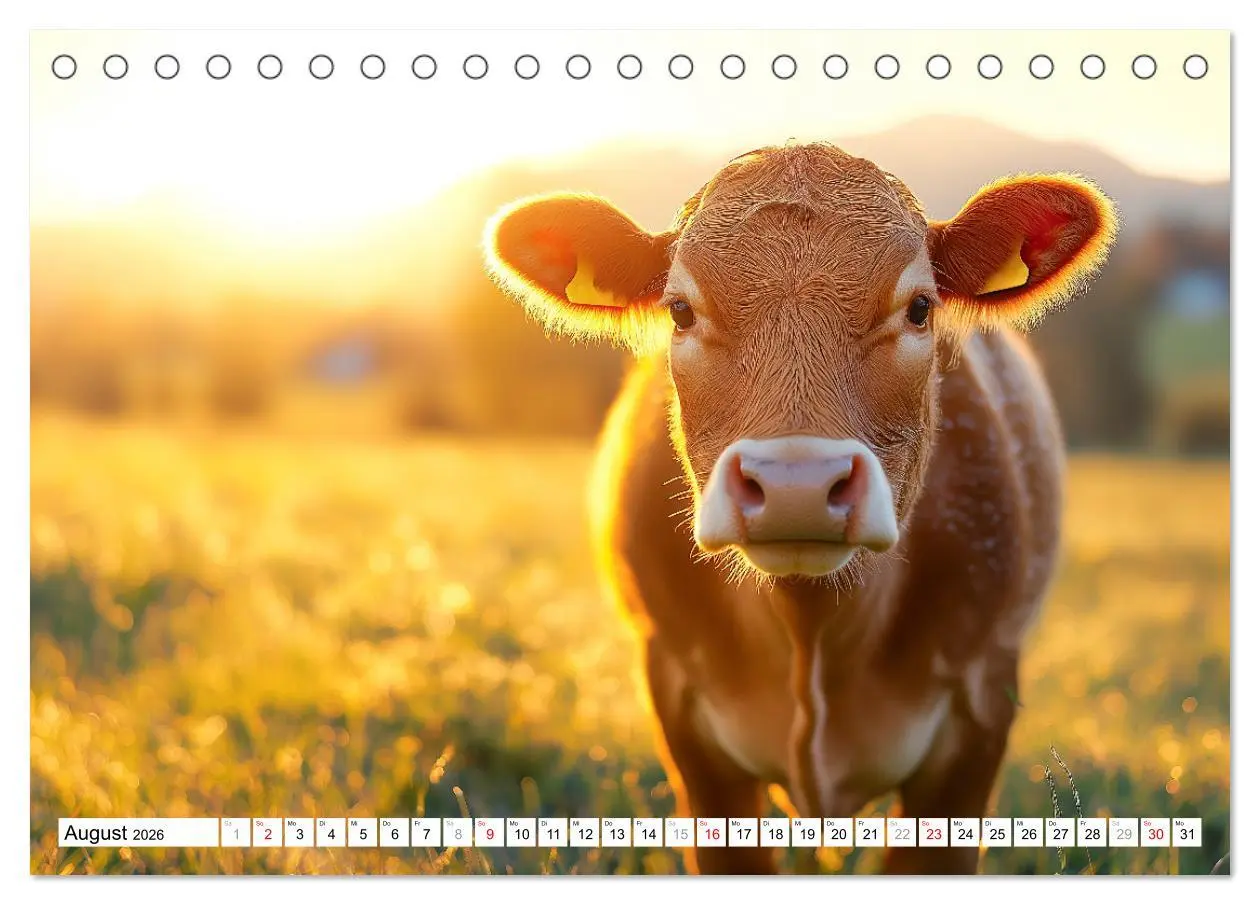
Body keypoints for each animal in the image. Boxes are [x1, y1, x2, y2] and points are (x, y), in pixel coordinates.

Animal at [483, 142, 1116, 875]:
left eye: (919, 307)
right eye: (680, 310)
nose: (796, 483)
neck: (812, 628)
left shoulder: (980, 706)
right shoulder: (683, 712)